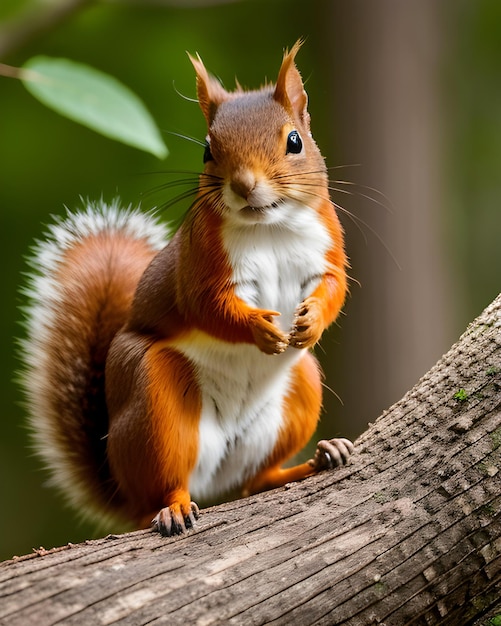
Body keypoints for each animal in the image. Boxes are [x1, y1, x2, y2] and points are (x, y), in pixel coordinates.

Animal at [21, 41, 352, 532]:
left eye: (295, 141)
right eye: (207, 151)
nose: (244, 185)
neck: (269, 228)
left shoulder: (326, 248)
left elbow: (335, 285)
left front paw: (310, 322)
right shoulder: (197, 268)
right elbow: (208, 308)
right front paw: (259, 329)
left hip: (301, 388)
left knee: (256, 480)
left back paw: (318, 458)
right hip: (156, 403)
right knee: (167, 485)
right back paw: (173, 506)